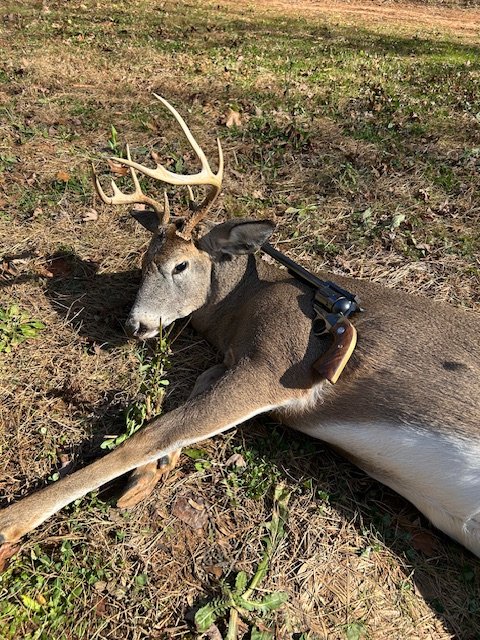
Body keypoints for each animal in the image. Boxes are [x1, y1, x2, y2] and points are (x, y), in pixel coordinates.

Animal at [0, 95, 479, 559]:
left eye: (180, 264)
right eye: (144, 260)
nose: (135, 324)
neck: (241, 307)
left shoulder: (280, 365)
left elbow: (154, 432)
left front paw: (13, 520)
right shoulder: (234, 360)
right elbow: (188, 400)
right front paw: (149, 475)